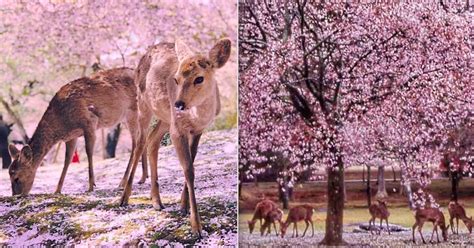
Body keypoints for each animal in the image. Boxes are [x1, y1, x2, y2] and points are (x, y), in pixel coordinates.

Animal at [6, 67, 148, 196]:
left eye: (17, 177)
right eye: (9, 174)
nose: (16, 195)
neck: (62, 121)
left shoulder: (89, 122)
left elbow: (89, 151)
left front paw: (91, 186)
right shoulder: (71, 136)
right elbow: (67, 159)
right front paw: (57, 190)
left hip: (133, 111)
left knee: (136, 143)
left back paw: (122, 182)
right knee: (143, 138)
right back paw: (143, 178)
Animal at [116, 37, 231, 237]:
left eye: (199, 78)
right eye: (176, 79)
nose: (179, 104)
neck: (197, 117)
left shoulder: (198, 130)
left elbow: (191, 162)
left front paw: (183, 206)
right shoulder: (177, 130)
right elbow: (188, 170)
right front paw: (196, 227)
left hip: (164, 117)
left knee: (152, 141)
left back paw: (156, 201)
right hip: (143, 104)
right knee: (140, 142)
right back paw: (124, 198)